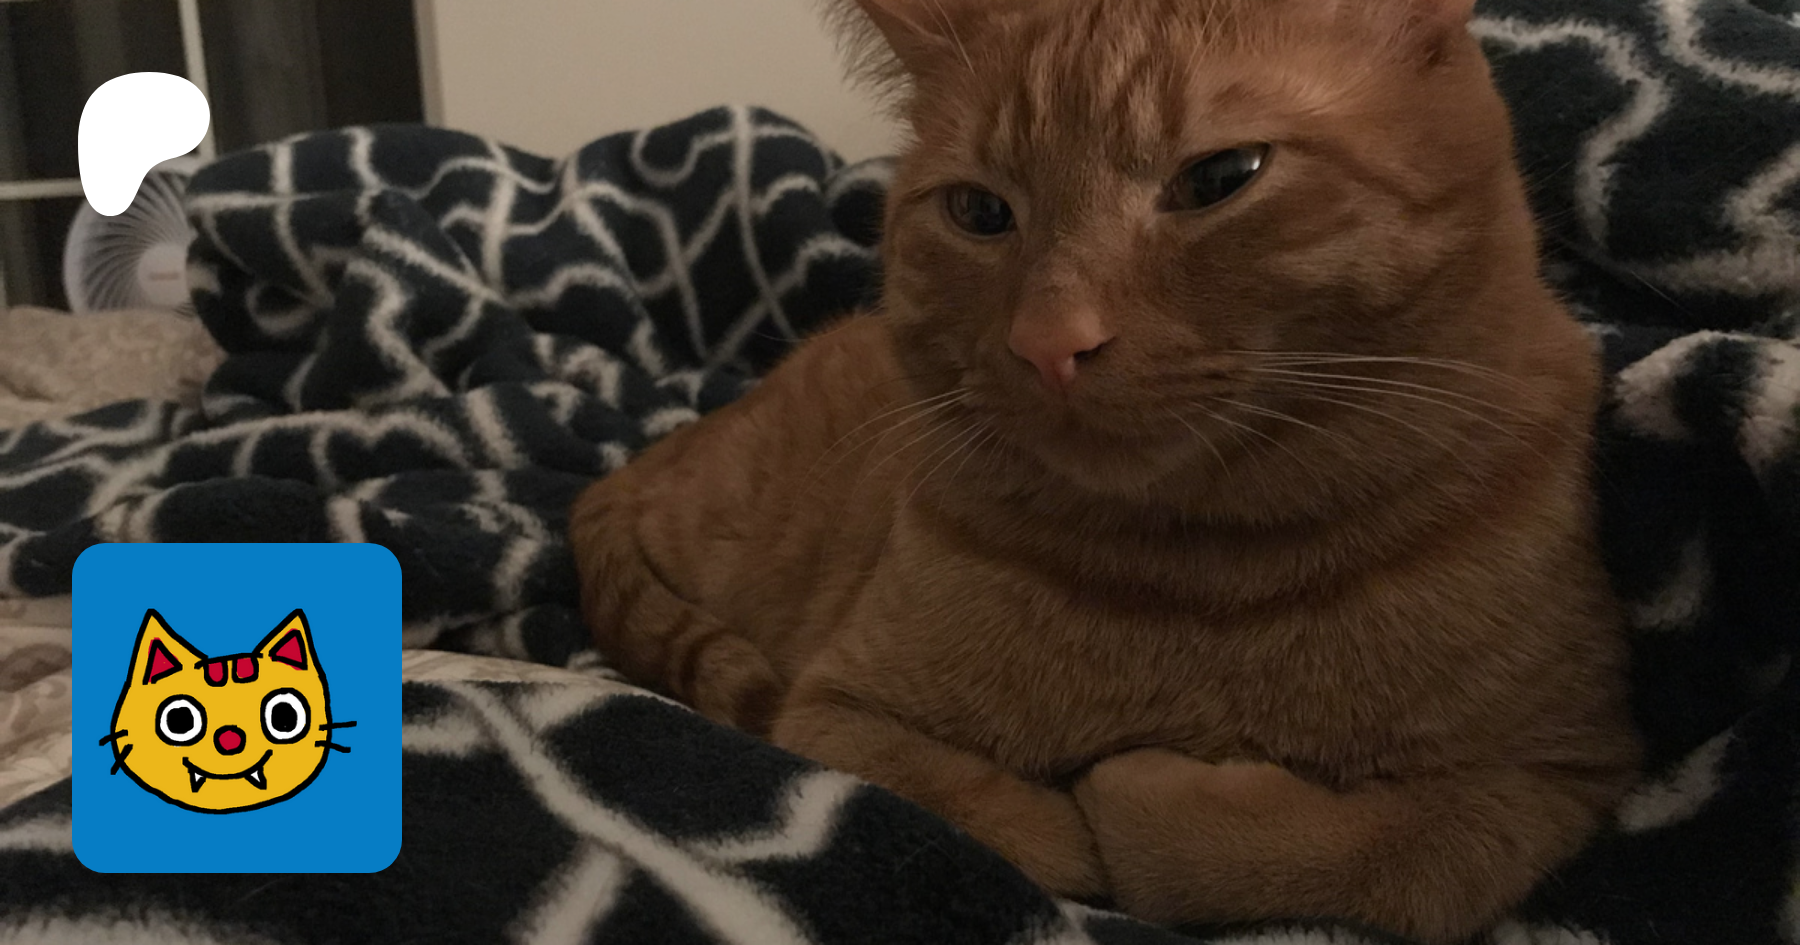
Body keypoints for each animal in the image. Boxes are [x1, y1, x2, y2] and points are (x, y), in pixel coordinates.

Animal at [567, 0, 1640, 940]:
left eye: (1222, 177)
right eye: (978, 210)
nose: (1050, 342)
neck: (1206, 573)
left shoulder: (1559, 773)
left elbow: (1407, 859)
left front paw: (1143, 794)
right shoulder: (839, 712)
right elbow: (1011, 827)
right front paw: (1076, 809)